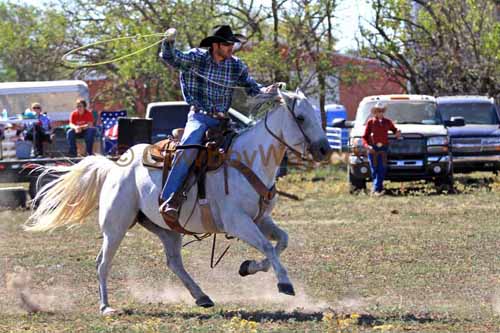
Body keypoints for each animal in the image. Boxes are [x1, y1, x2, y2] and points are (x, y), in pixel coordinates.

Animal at [25, 89, 334, 314]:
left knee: (174, 262)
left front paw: (248, 267)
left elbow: (282, 242)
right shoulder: (238, 222)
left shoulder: (261, 219)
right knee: (103, 262)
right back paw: (106, 306)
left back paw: (201, 296)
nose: (324, 149)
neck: (248, 161)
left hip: (167, 228)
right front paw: (284, 283)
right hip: (115, 227)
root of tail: (114, 166)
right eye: (301, 118)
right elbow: (269, 247)